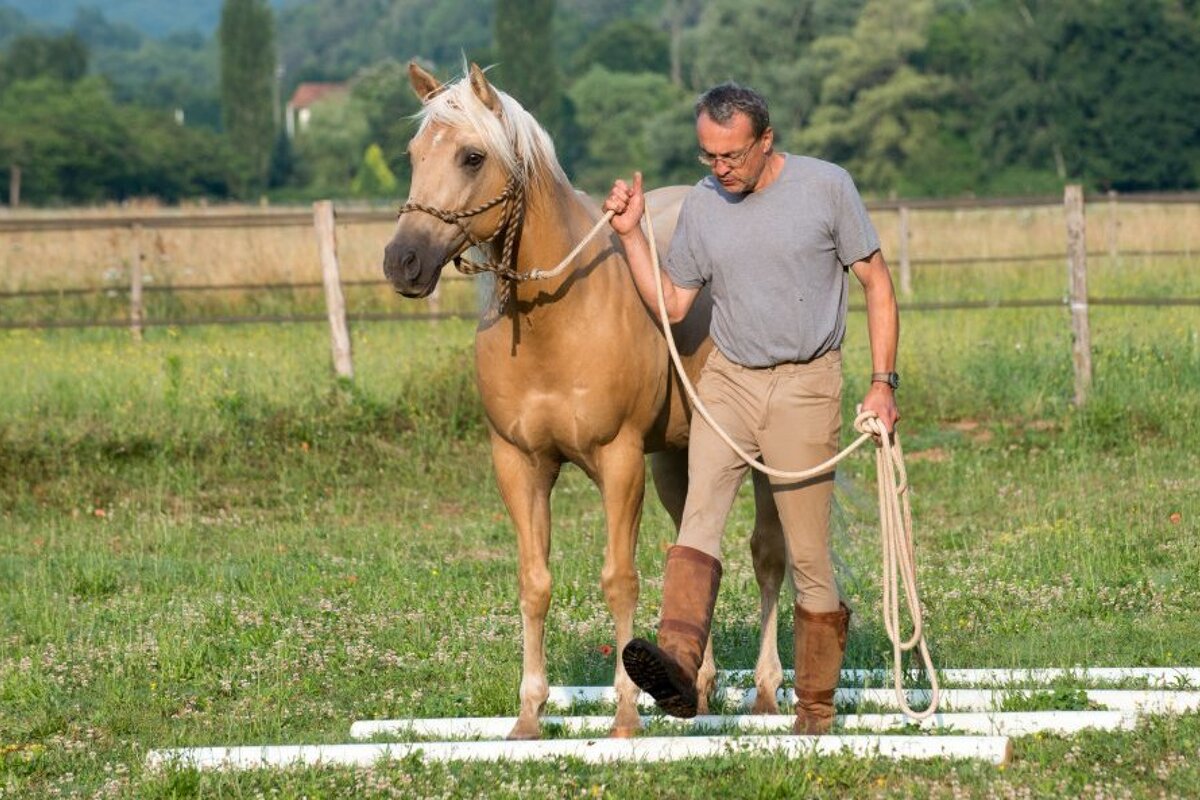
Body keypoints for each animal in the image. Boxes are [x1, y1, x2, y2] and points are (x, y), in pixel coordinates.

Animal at [383, 62, 790, 739]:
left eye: (472, 156)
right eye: (415, 155)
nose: (402, 262)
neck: (560, 318)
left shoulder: (618, 461)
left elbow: (619, 580)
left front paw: (625, 715)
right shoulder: (518, 464)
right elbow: (534, 583)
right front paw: (528, 716)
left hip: (761, 458)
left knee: (767, 555)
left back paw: (764, 692)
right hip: (679, 459)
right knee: (696, 547)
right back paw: (698, 690)